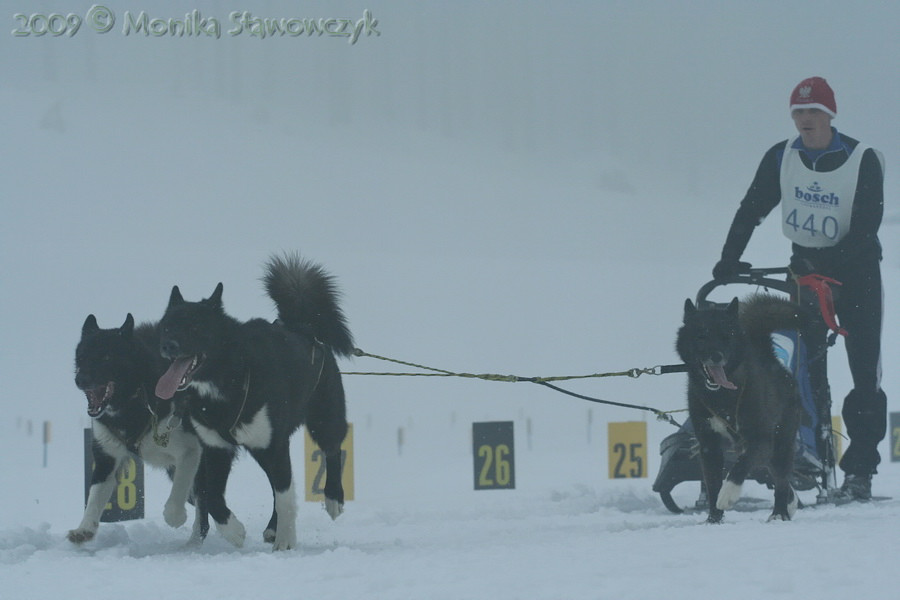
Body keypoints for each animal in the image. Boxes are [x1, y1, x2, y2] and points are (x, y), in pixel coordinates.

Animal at [70, 314, 206, 544]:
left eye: (106, 357)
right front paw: (85, 528)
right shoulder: (107, 457)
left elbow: (178, 491)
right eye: (81, 357)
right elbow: (95, 496)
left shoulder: (190, 449)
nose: (80, 380)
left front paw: (174, 516)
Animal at [155, 251, 352, 552]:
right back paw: (272, 527)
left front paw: (285, 541)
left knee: (331, 450)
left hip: (323, 419)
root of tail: (303, 327)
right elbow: (213, 497)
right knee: (275, 484)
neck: (228, 381)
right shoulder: (217, 449)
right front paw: (234, 531)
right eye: (167, 327)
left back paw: (332, 499)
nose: (168, 345)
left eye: (195, 326)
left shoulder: (274, 445)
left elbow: (285, 496)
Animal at [676, 292, 800, 524]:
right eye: (701, 336)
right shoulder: (709, 445)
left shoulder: (760, 440)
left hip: (780, 443)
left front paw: (728, 495)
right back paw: (790, 503)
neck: (722, 397)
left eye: (727, 336)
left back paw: (779, 512)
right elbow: (712, 484)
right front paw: (713, 518)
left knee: (780, 479)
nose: (716, 355)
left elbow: (740, 466)